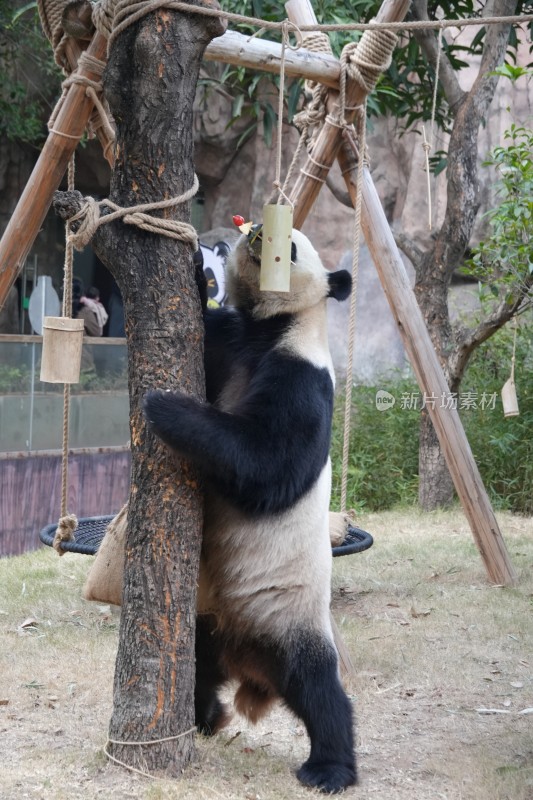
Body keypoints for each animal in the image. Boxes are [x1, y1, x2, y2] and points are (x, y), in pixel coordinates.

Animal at [143, 225, 356, 792]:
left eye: (294, 247)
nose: (258, 234)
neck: (271, 327)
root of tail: (252, 667)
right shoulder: (229, 342)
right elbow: (205, 330)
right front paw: (197, 275)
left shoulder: (304, 376)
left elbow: (266, 463)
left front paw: (166, 407)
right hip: (208, 619)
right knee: (193, 665)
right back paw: (206, 718)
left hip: (292, 618)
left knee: (320, 689)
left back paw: (330, 768)